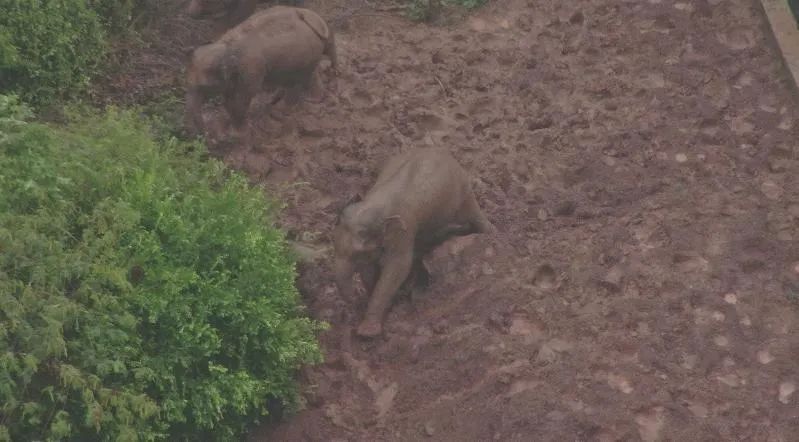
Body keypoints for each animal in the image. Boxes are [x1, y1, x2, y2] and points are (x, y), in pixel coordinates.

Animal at [183, 5, 336, 138]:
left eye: (204, 87)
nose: (206, 135)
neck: (226, 45)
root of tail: (312, 17)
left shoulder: (250, 68)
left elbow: (241, 97)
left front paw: (237, 134)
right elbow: (229, 97)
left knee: (296, 80)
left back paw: (282, 110)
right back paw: (309, 100)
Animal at [332, 148, 494, 338]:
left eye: (358, 252)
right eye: (333, 243)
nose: (354, 301)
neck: (375, 203)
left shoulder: (404, 230)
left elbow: (398, 266)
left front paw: (367, 333)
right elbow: (370, 269)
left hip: (463, 190)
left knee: (472, 213)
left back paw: (491, 233)